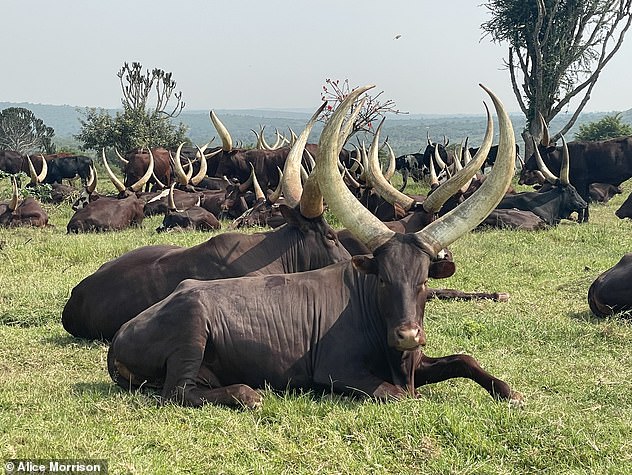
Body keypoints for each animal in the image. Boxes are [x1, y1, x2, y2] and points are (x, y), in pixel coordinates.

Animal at [107, 84, 524, 410]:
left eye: (423, 280)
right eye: (383, 279)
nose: (407, 335)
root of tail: (120, 337)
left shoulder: (419, 362)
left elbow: (465, 359)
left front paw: (510, 391)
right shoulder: (339, 372)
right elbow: (402, 395)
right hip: (192, 333)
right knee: (177, 392)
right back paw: (248, 393)